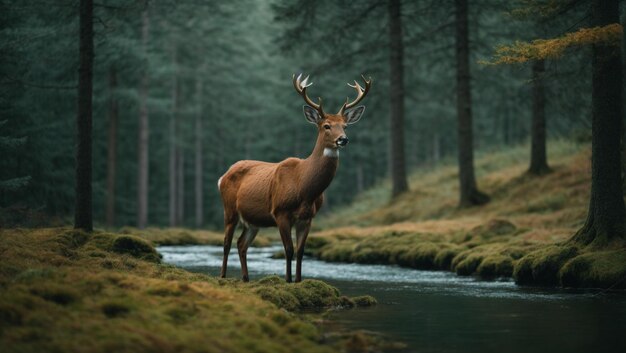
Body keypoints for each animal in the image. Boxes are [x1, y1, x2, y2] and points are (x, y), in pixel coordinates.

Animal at [217, 74, 368, 284]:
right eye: (326, 126)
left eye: (345, 126)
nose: (343, 139)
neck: (303, 186)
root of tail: (223, 176)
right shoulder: (280, 211)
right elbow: (288, 250)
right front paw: (288, 281)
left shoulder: (308, 218)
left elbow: (301, 251)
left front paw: (298, 281)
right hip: (229, 209)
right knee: (226, 242)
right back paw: (222, 276)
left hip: (253, 220)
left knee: (241, 244)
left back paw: (246, 278)